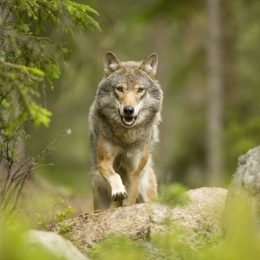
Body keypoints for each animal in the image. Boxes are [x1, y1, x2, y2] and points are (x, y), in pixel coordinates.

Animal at [89, 51, 162, 211]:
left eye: (140, 90)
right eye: (120, 89)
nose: (128, 110)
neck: (126, 138)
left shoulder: (134, 174)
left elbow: (129, 203)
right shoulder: (104, 161)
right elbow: (115, 175)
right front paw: (118, 191)